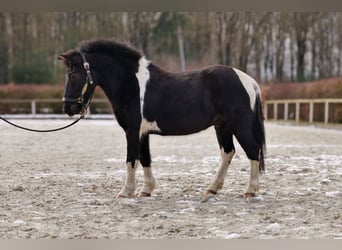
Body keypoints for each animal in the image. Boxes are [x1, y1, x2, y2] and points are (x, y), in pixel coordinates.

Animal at [58, 38, 266, 199]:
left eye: (73, 75)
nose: (68, 108)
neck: (132, 84)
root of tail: (249, 81)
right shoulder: (143, 132)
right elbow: (145, 159)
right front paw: (146, 190)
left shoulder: (132, 130)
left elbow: (131, 160)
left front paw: (126, 192)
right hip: (222, 126)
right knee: (228, 152)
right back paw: (212, 188)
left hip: (239, 126)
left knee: (253, 150)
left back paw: (250, 190)